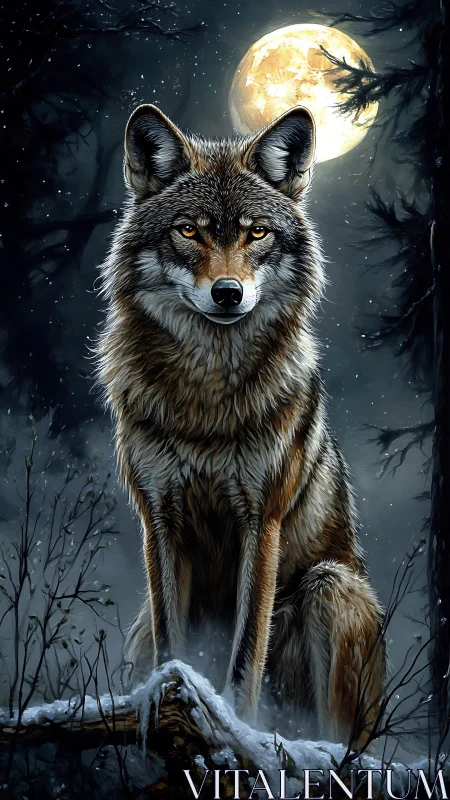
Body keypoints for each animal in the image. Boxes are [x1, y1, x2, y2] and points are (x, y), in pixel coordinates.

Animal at [97, 103, 385, 747]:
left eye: (256, 232)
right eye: (189, 231)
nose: (227, 293)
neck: (205, 395)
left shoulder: (262, 518)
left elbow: (245, 652)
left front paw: (236, 724)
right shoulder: (159, 517)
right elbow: (175, 641)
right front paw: (175, 693)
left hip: (330, 585)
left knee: (336, 740)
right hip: (137, 631)